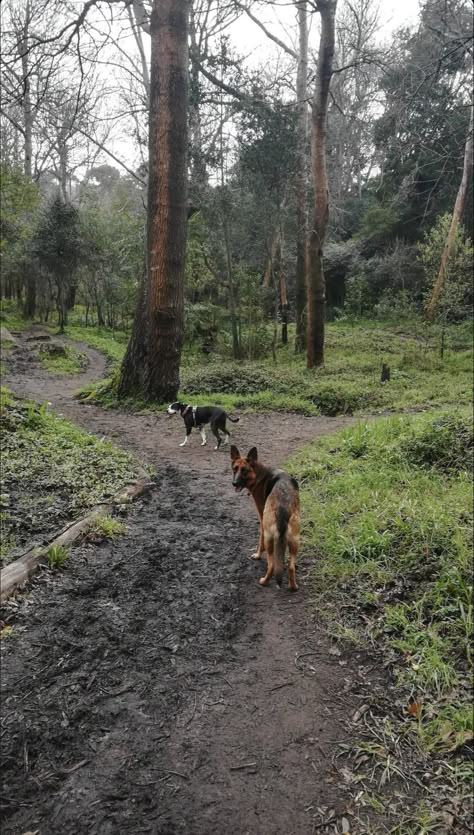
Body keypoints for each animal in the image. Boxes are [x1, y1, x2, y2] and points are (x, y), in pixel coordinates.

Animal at [231, 448, 300, 592]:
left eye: (244, 470)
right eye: (235, 469)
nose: (234, 483)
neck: (259, 473)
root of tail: (283, 506)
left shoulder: (262, 519)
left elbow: (260, 540)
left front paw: (257, 555)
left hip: (270, 539)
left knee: (272, 566)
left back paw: (263, 581)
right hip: (295, 540)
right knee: (291, 567)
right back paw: (293, 586)